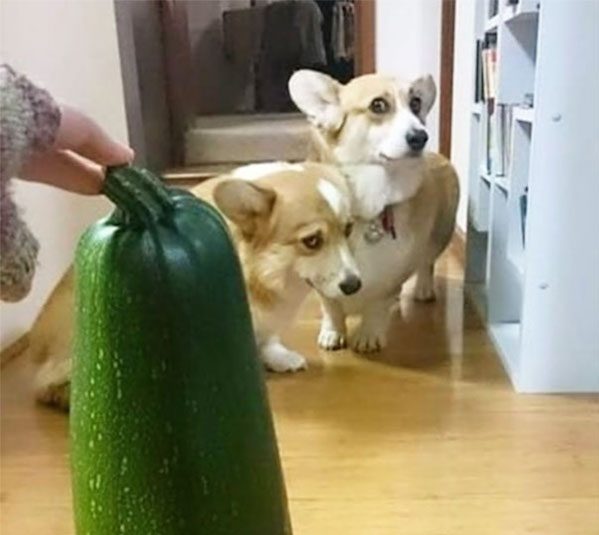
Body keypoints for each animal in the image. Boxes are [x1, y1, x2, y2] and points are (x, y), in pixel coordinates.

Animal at [290, 71, 460, 354]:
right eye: (378, 105)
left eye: (415, 103)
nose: (421, 137)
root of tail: (439, 156)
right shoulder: (318, 279)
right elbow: (331, 307)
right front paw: (332, 333)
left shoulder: (390, 273)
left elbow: (377, 304)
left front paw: (369, 335)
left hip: (439, 235)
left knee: (427, 262)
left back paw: (423, 288)